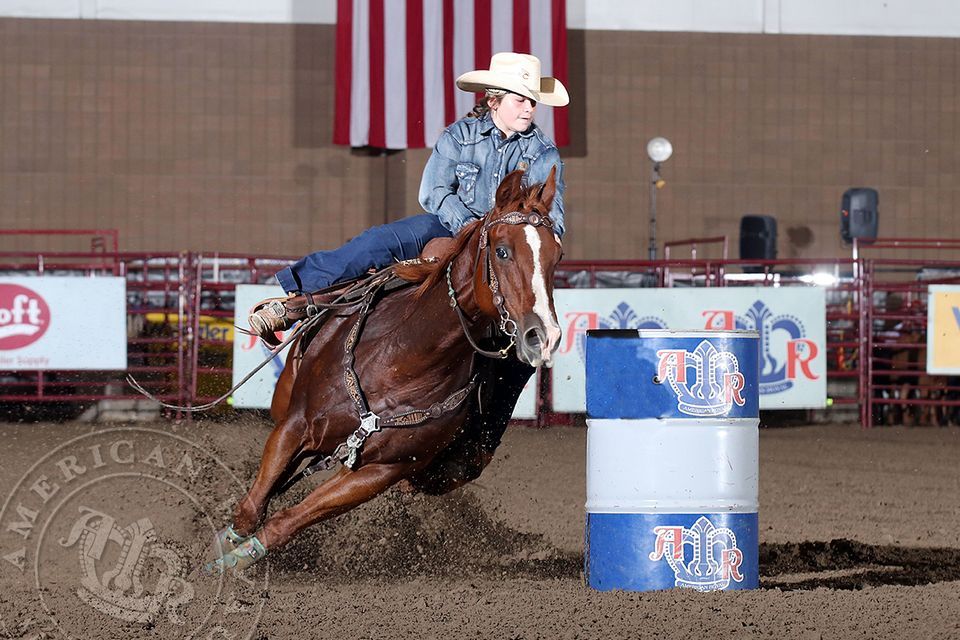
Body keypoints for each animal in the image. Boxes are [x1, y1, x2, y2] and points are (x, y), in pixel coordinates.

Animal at [203, 168, 564, 572]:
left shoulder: (380, 472)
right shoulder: (294, 427)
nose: (543, 334)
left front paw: (232, 562)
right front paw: (220, 551)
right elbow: (252, 508)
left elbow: (287, 521)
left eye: (557, 256)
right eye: (502, 251)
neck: (402, 359)